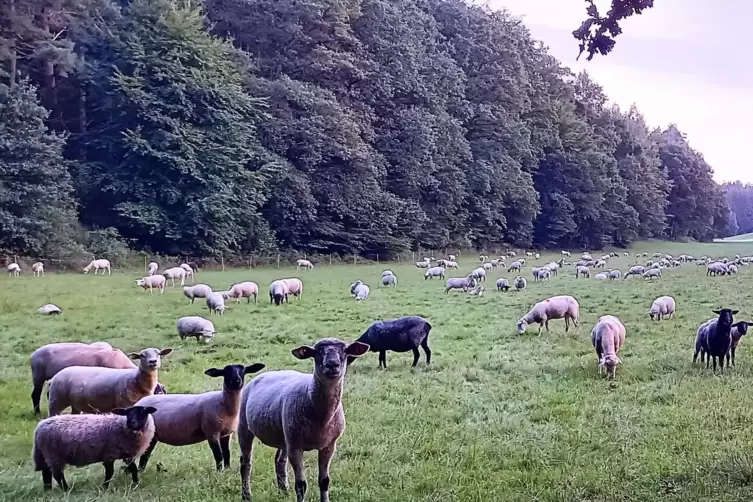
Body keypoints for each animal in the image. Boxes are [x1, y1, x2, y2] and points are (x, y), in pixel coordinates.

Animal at [137, 360, 266, 470]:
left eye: (243, 370)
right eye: (226, 371)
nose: (236, 380)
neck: (223, 404)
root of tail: (140, 402)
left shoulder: (226, 433)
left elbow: (227, 453)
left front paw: (227, 470)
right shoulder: (211, 432)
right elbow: (218, 456)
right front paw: (220, 473)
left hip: (153, 436)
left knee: (145, 454)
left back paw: (141, 471)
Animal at [238, 338, 370, 502]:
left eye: (345, 350)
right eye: (317, 352)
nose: (332, 364)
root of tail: (263, 375)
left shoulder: (329, 446)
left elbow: (324, 481)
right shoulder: (296, 447)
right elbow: (301, 485)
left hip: (285, 435)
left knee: (279, 461)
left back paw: (283, 491)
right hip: (245, 427)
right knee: (245, 463)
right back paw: (246, 495)